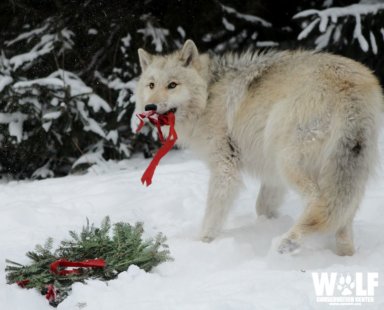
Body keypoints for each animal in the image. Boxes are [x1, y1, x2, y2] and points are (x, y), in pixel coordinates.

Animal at [134, 40, 380, 256]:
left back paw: (291, 241)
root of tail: (350, 88)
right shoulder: (272, 174)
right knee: (342, 213)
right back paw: (344, 256)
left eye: (172, 85)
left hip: (288, 161)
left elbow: (213, 215)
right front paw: (268, 224)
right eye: (151, 85)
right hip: (340, 169)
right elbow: (262, 206)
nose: (150, 106)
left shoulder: (225, 168)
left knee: (318, 202)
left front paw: (202, 243)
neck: (209, 93)